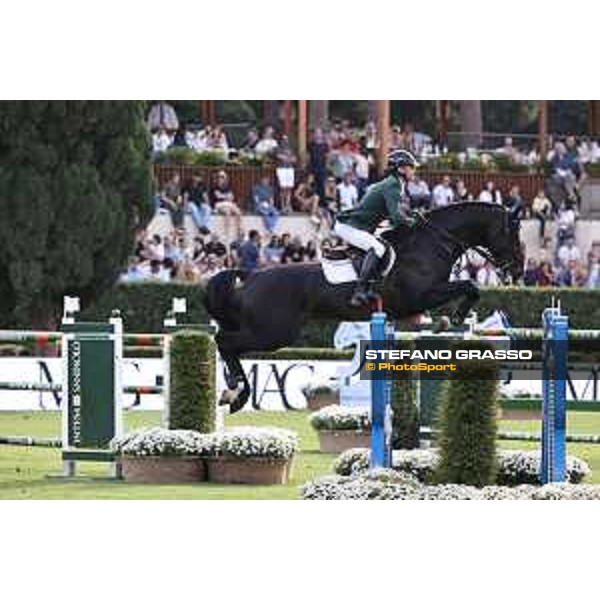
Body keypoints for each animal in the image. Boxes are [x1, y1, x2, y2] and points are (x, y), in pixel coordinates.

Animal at [204, 202, 524, 412]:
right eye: (513, 235)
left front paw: (451, 319)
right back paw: (236, 392)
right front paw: (457, 316)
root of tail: (251, 275)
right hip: (273, 332)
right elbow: (470, 285)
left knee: (227, 342)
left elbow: (465, 290)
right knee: (225, 341)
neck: (432, 244)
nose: (518, 271)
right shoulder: (421, 295)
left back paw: (233, 389)